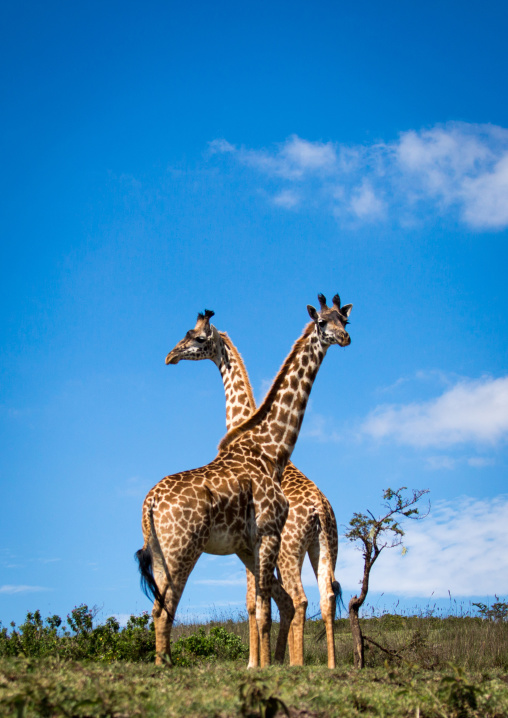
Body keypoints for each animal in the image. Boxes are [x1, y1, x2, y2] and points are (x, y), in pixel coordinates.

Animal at [136, 294, 352, 666]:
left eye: (344, 320)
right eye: (322, 322)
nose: (170, 356)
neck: (270, 447)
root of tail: (150, 503)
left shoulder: (254, 543)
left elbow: (261, 606)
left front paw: (261, 664)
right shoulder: (262, 538)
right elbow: (259, 607)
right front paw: (260, 665)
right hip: (185, 550)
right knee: (165, 609)